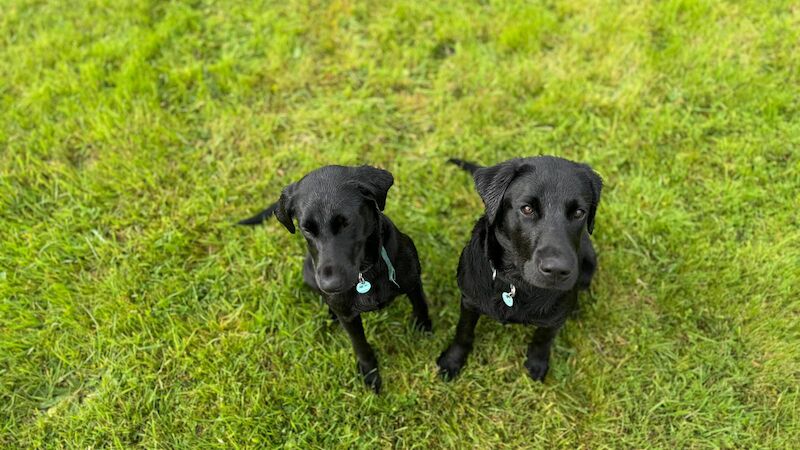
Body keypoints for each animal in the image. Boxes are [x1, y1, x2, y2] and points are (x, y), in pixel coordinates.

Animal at [239, 165, 432, 394]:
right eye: (306, 228)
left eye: (346, 222)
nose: (330, 286)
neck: (365, 274)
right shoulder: (348, 316)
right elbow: (360, 345)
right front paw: (369, 372)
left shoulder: (412, 282)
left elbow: (420, 306)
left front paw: (424, 328)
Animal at [438, 156, 600, 382]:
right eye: (527, 209)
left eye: (579, 213)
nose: (557, 270)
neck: (515, 282)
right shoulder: (469, 300)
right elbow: (463, 332)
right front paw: (452, 360)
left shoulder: (553, 319)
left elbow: (543, 338)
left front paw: (536, 363)